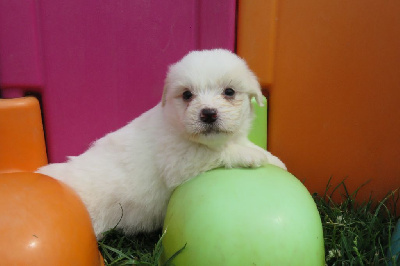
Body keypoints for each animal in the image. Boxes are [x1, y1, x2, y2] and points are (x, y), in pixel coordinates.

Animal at [36, 49, 286, 239]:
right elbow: (219, 152)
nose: (208, 114)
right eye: (187, 95)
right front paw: (250, 156)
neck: (176, 124)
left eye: (229, 91)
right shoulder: (181, 161)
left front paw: (275, 160)